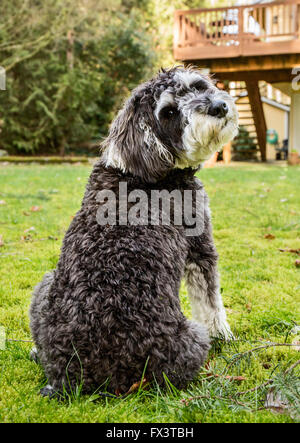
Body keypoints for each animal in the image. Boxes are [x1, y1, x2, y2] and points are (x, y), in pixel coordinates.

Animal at [29, 67, 239, 398]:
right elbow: (211, 303)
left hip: (44, 287)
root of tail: (71, 378)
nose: (218, 107)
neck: (141, 173)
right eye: (168, 112)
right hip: (190, 341)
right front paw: (224, 335)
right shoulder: (201, 248)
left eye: (197, 86)